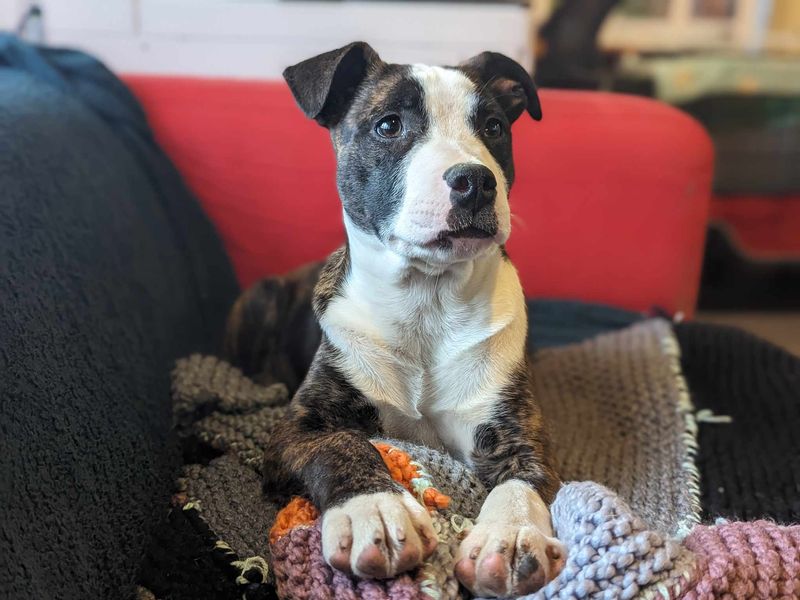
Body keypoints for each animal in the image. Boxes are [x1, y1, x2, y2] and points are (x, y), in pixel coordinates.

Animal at [225, 41, 564, 596]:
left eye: (493, 126)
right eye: (389, 125)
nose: (475, 181)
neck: (427, 301)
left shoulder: (518, 433)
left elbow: (521, 481)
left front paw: (511, 537)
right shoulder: (295, 430)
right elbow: (342, 444)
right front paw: (377, 510)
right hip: (260, 297)